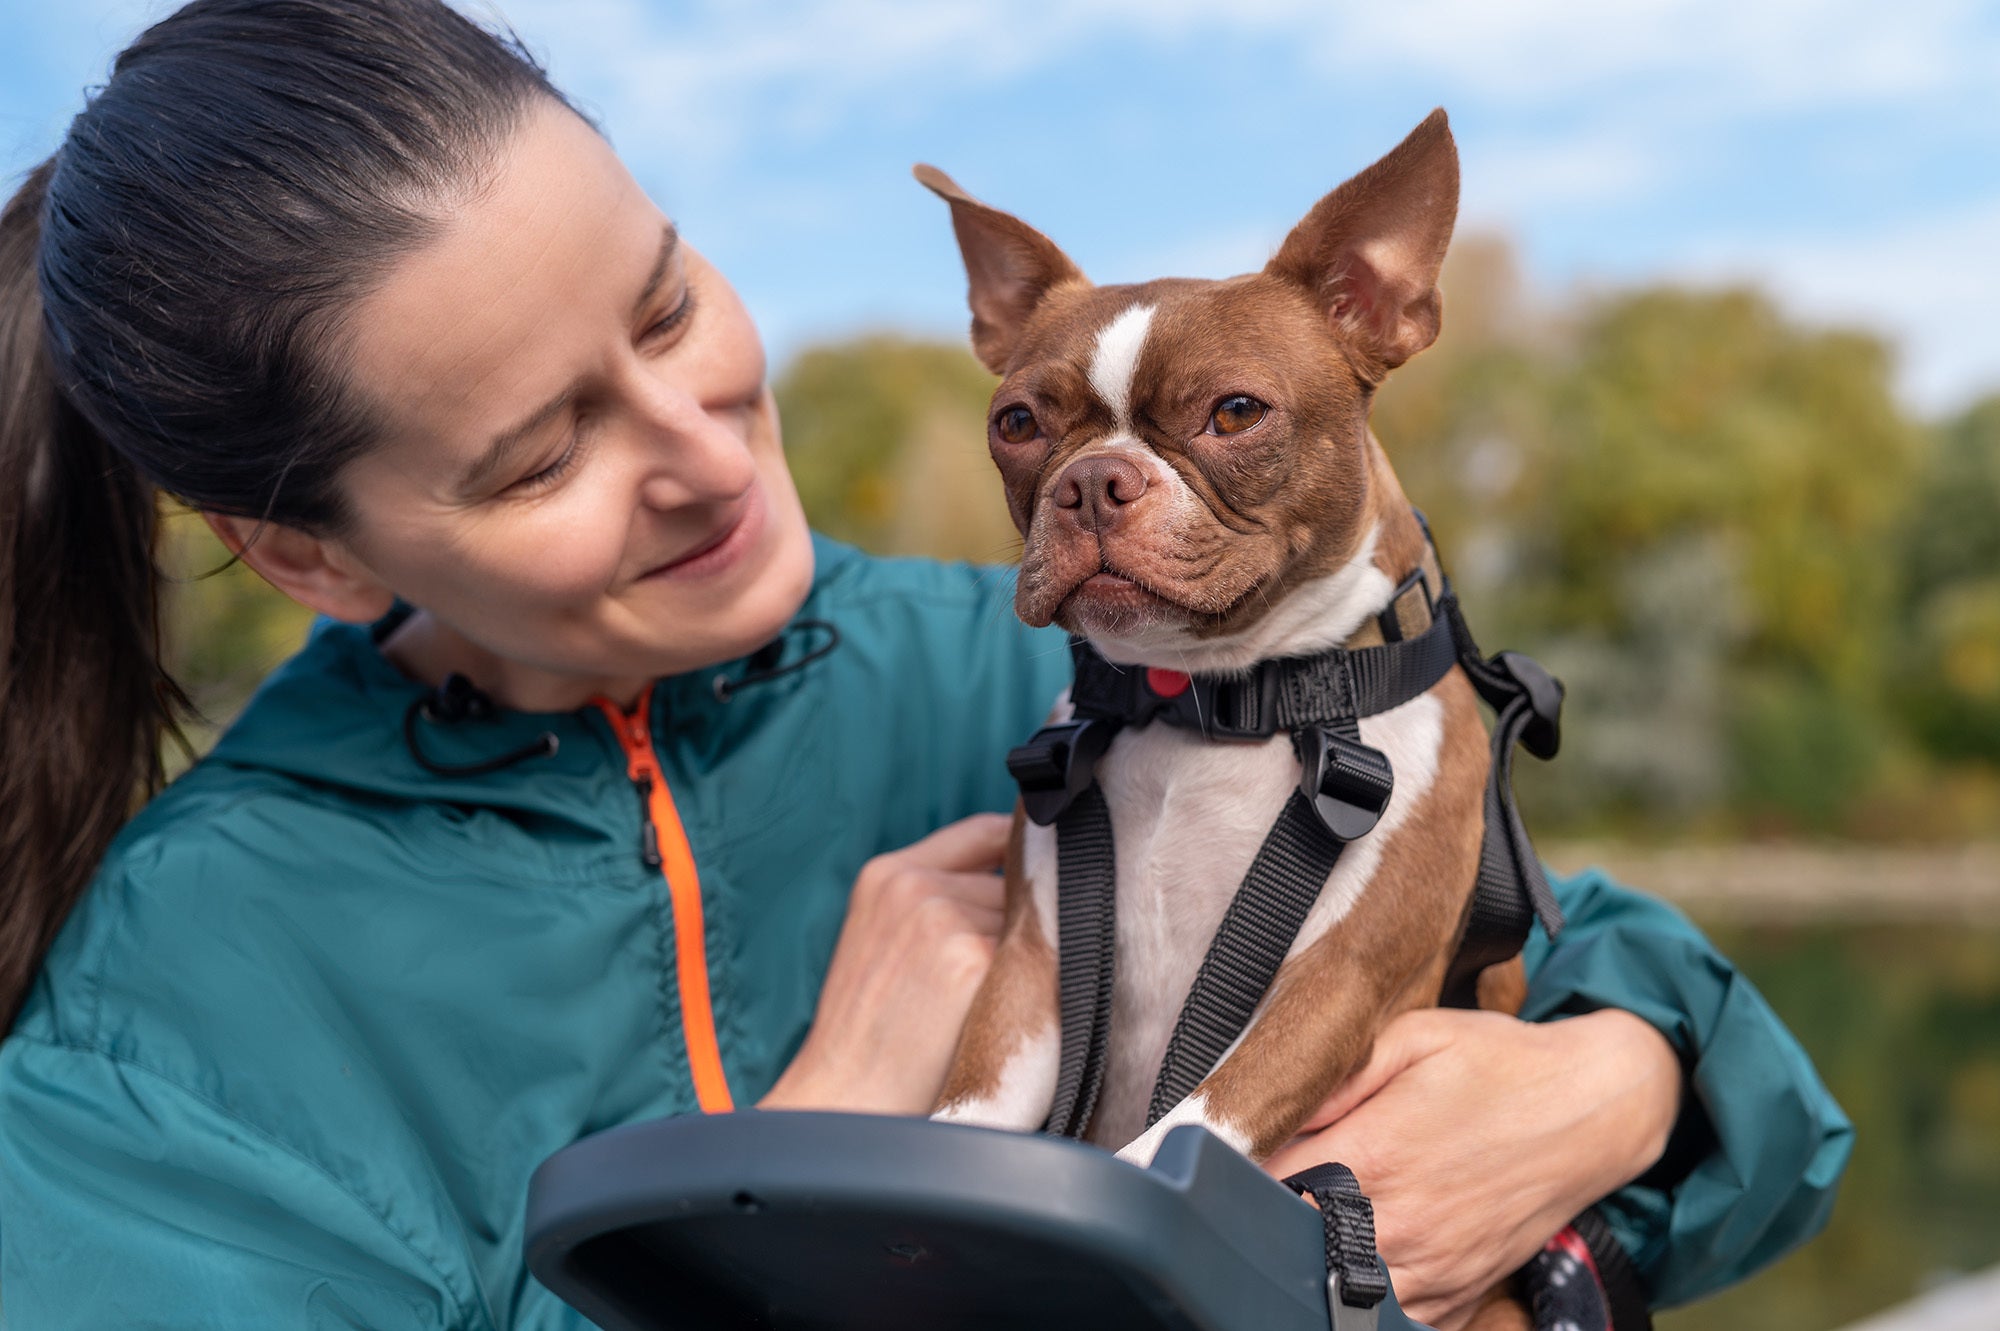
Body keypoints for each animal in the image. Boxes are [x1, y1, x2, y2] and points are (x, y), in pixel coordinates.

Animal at [920, 108, 1528, 1199]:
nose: (1092, 480)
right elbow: (970, 1104)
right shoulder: (1032, 962)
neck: (1205, 704)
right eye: (1016, 424)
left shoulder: (1338, 981)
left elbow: (1191, 1127)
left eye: (1235, 411)